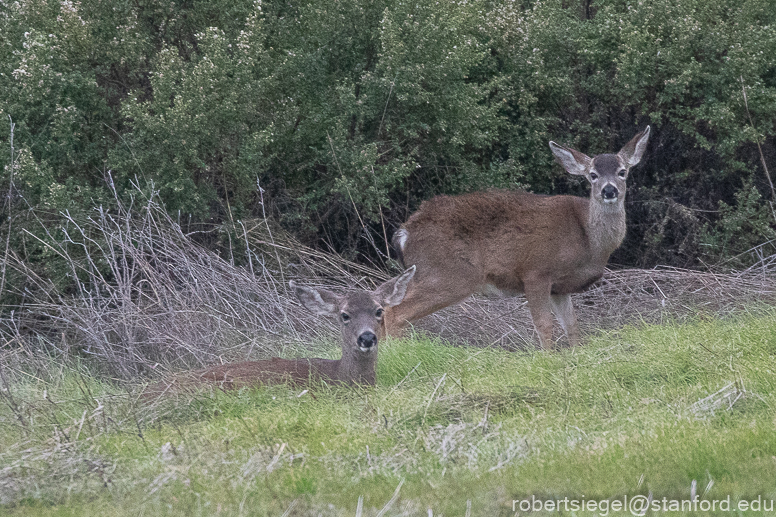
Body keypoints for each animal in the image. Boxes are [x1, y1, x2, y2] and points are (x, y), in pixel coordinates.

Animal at [386, 127, 648, 348]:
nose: (609, 190)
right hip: (448, 273)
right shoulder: (536, 271)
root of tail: (404, 232)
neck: (587, 239)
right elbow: (544, 325)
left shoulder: (560, 287)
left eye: (622, 172)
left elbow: (572, 326)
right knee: (395, 312)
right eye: (592, 175)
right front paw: (548, 358)